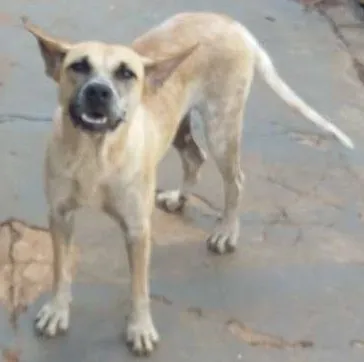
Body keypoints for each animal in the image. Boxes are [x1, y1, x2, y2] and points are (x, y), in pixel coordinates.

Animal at [22, 12, 352, 356]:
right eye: (78, 66)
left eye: (126, 73)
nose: (99, 91)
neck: (94, 154)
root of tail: (230, 23)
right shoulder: (59, 217)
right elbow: (60, 270)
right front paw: (57, 311)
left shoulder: (138, 230)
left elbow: (139, 288)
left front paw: (140, 328)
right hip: (179, 128)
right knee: (195, 157)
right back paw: (179, 198)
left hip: (222, 129)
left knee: (235, 180)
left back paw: (226, 232)